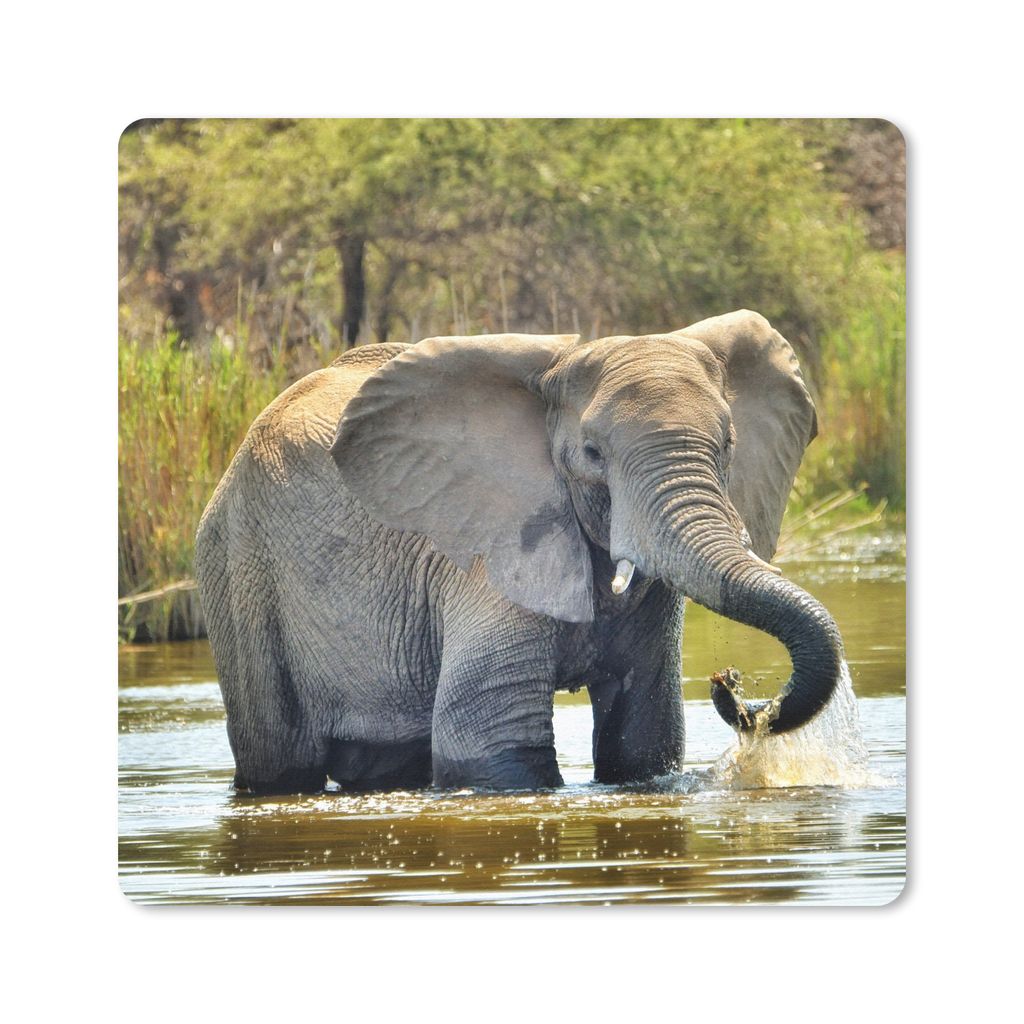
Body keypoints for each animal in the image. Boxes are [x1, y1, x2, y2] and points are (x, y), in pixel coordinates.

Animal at [194, 309, 844, 795]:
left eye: (728, 443)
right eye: (591, 453)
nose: (730, 685)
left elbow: (644, 737)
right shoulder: (487, 550)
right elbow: (488, 739)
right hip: (238, 566)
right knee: (278, 760)